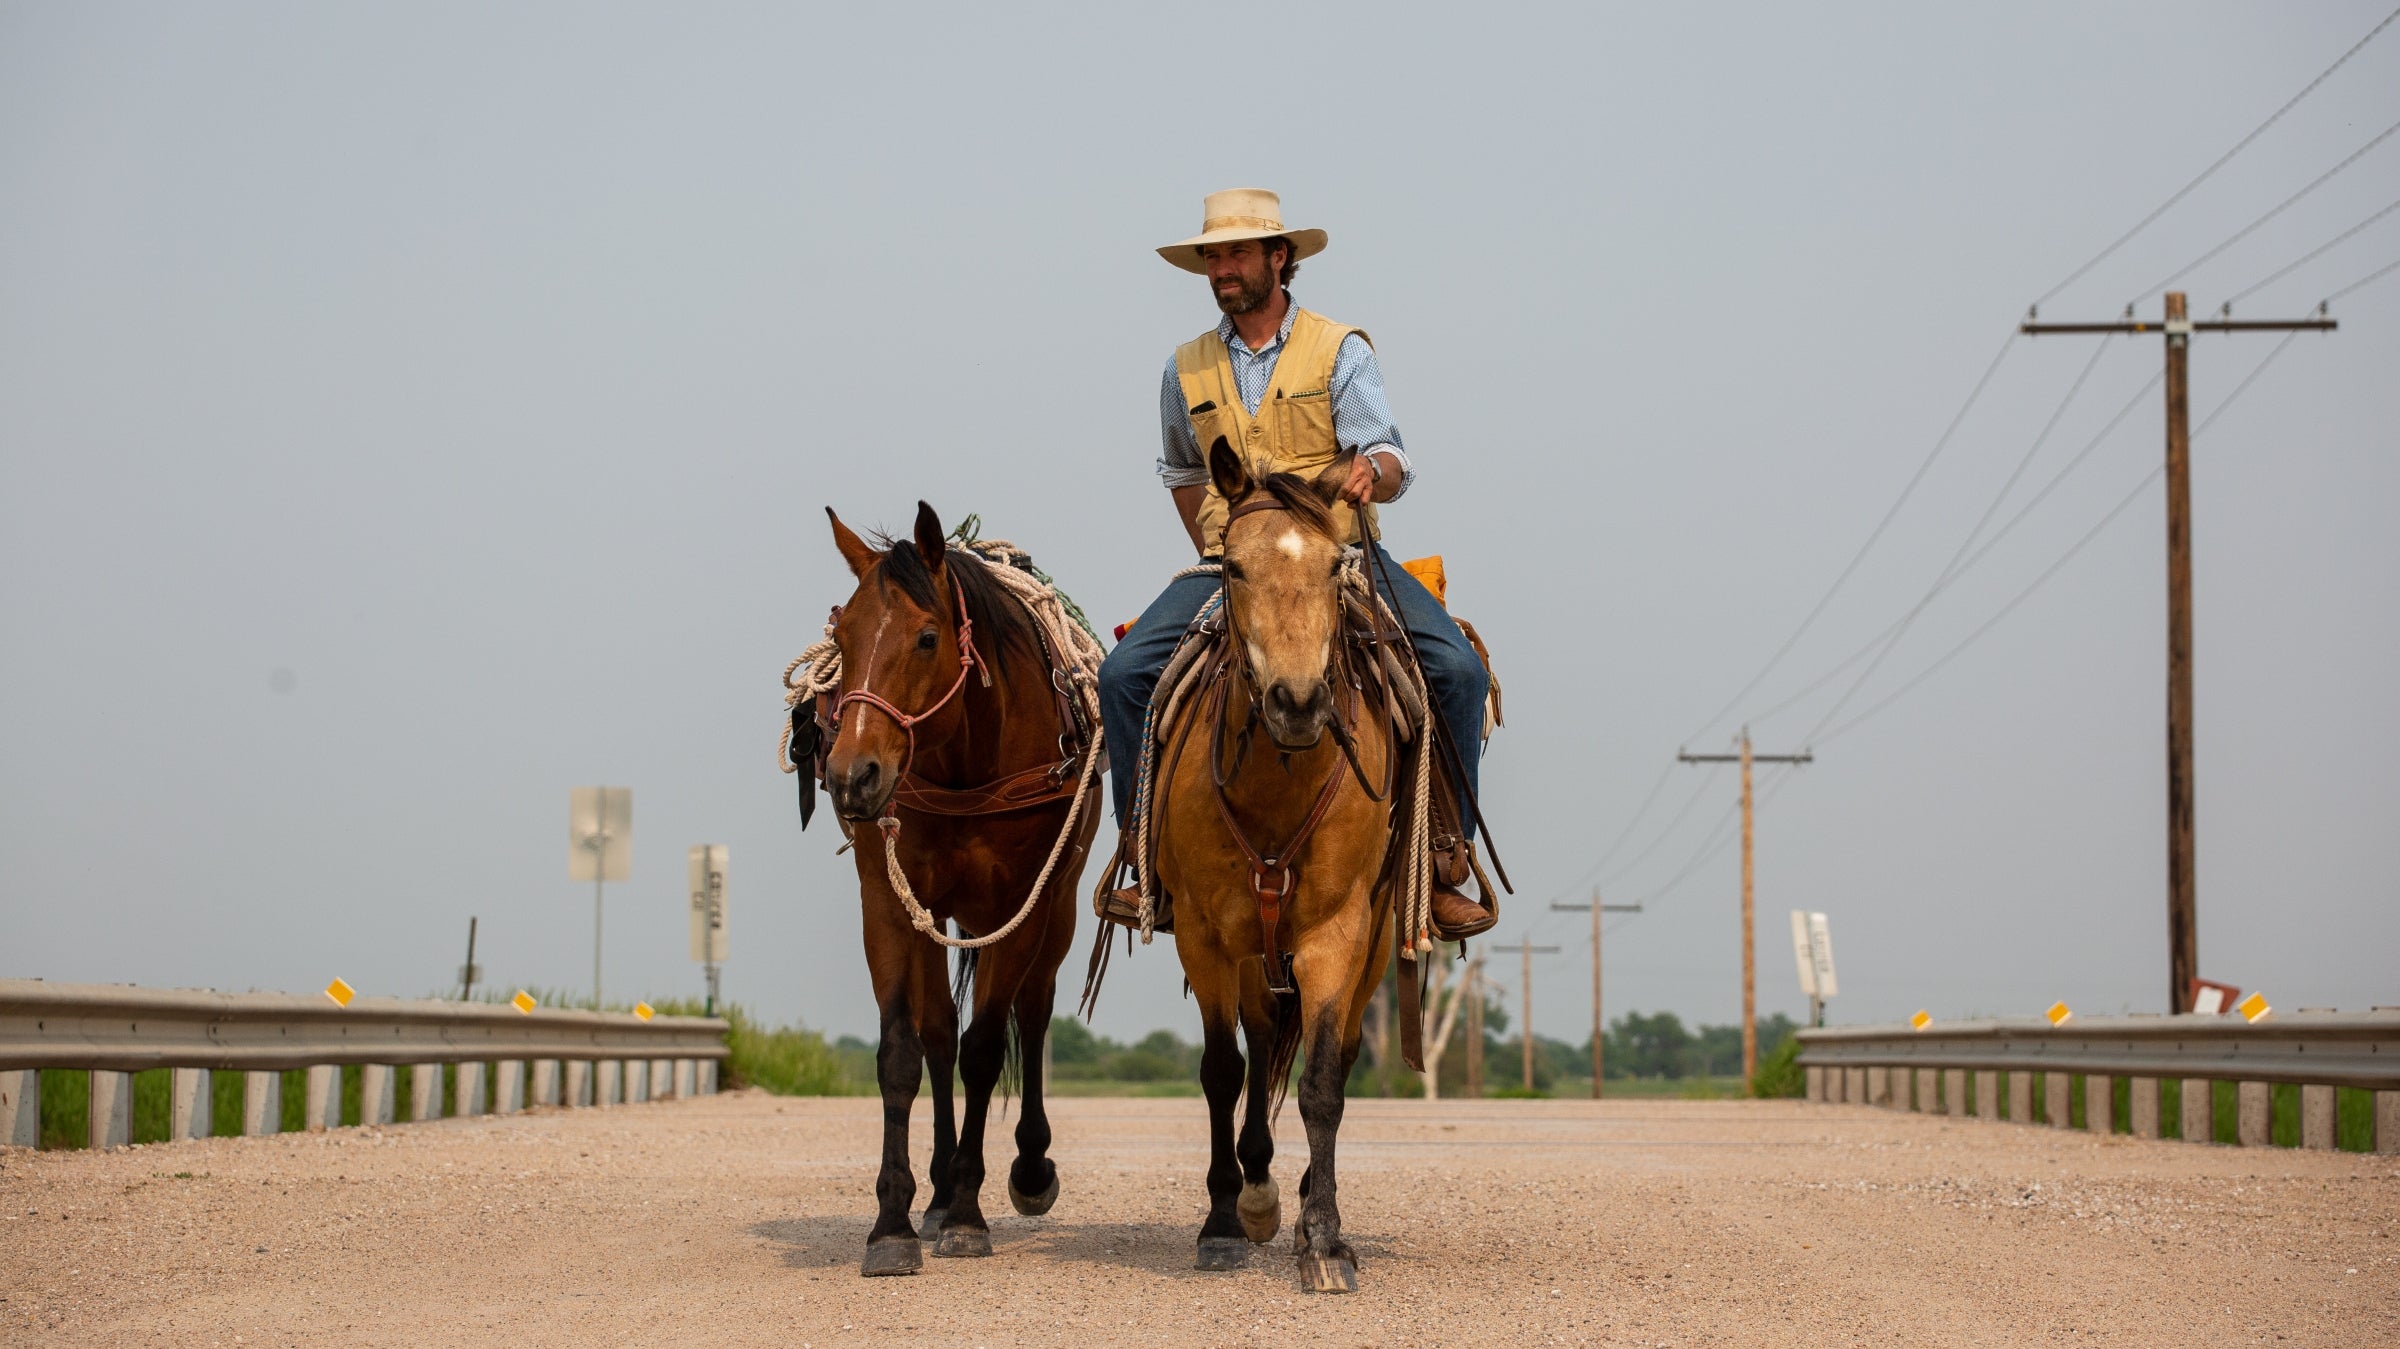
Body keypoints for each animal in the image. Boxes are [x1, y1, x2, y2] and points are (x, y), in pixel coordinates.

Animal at [787, 501, 1104, 1267]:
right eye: (841, 635)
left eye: (927, 638)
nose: (851, 775)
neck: (966, 759)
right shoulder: (891, 903)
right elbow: (905, 1050)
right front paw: (895, 1222)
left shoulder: (1021, 904)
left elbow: (988, 1047)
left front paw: (966, 1211)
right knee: (938, 1035)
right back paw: (932, 1192)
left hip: (1059, 908)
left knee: (1033, 1013)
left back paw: (1025, 1170)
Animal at [1156, 439, 1411, 1276]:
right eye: (1233, 566)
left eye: (1336, 565)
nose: (1297, 703)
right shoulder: (1204, 935)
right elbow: (1221, 1069)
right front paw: (1224, 1220)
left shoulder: (1339, 931)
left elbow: (1324, 1081)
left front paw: (1324, 1236)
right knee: (1261, 1038)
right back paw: (1259, 1191)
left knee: (1342, 1048)